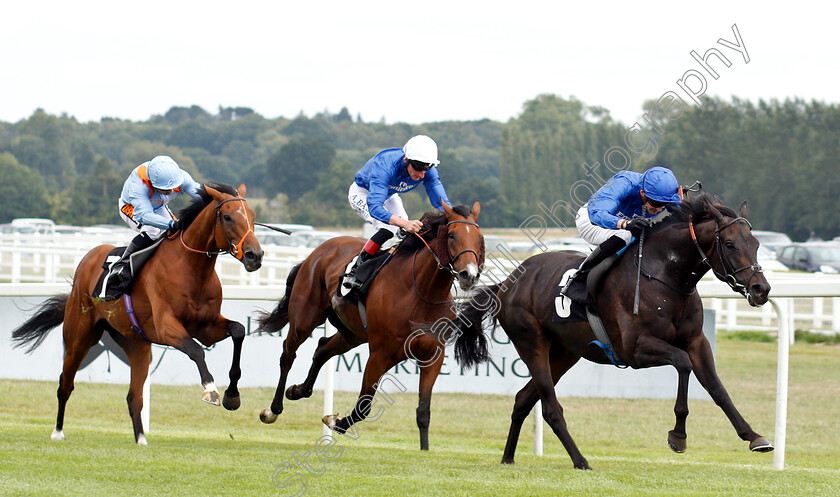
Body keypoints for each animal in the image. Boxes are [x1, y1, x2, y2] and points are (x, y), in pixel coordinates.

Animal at [10, 183, 262, 446]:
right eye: (228, 217)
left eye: (253, 216)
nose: (255, 255)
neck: (191, 268)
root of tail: (87, 260)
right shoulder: (166, 327)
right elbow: (195, 350)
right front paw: (211, 389)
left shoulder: (206, 327)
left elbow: (238, 330)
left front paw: (232, 395)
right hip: (78, 336)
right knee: (65, 384)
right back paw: (58, 431)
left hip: (136, 344)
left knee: (134, 397)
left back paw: (141, 438)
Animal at [260, 202, 488, 450]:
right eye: (452, 235)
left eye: (479, 238)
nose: (469, 275)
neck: (422, 293)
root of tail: (320, 249)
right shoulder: (380, 353)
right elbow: (364, 405)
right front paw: (334, 421)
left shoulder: (433, 356)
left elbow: (423, 412)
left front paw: (425, 450)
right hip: (305, 318)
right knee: (288, 354)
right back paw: (272, 410)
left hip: (351, 333)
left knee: (322, 348)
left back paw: (298, 390)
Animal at [456, 194, 772, 468]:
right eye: (729, 244)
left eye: (756, 243)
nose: (761, 289)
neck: (665, 276)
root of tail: (509, 282)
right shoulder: (635, 349)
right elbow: (682, 364)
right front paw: (678, 436)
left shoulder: (697, 341)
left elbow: (717, 388)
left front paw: (754, 436)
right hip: (531, 342)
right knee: (550, 408)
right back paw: (580, 461)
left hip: (565, 353)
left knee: (523, 399)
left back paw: (508, 457)